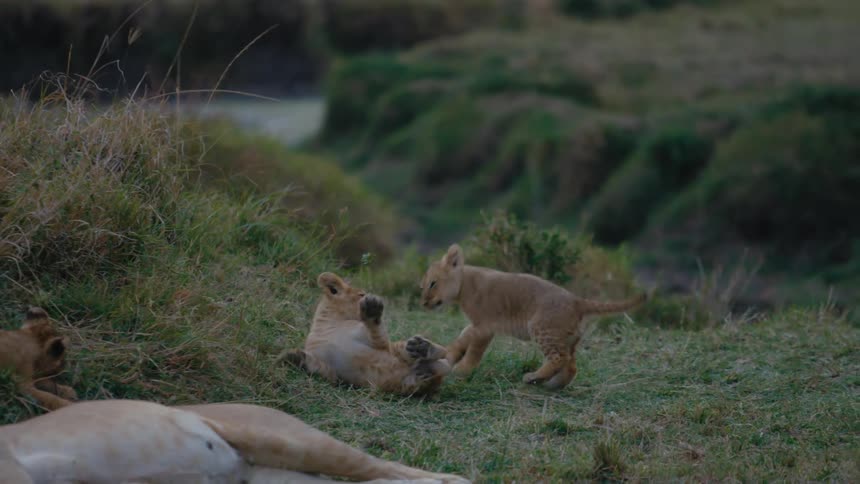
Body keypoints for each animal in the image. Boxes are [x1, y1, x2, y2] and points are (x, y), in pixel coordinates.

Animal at [279, 272, 451, 396]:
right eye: (361, 294)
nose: (368, 296)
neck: (325, 325)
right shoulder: (331, 371)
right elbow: (318, 367)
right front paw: (293, 357)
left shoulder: (378, 342)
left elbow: (376, 331)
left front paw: (372, 308)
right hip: (409, 383)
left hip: (402, 349)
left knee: (443, 354)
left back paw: (421, 347)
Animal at [420, 244, 646, 390]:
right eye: (424, 285)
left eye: (433, 283)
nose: (423, 303)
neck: (464, 284)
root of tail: (577, 301)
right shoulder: (477, 325)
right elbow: (463, 337)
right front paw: (450, 354)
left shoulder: (485, 326)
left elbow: (474, 350)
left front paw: (462, 369)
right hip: (569, 338)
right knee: (571, 365)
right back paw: (553, 384)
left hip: (541, 327)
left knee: (559, 358)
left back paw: (533, 377)